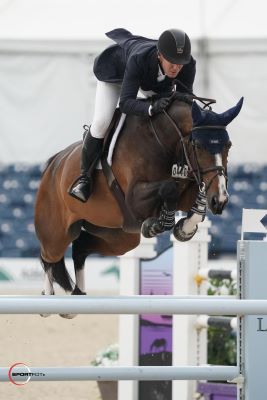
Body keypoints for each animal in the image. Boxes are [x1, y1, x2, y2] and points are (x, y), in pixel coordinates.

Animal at [34, 92, 244, 318]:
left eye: (228, 145)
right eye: (198, 146)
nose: (221, 200)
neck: (166, 141)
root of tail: (54, 163)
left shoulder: (190, 186)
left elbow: (196, 203)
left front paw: (184, 229)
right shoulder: (134, 197)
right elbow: (168, 187)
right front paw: (156, 225)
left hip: (119, 236)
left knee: (81, 246)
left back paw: (77, 297)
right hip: (57, 231)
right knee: (49, 255)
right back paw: (47, 299)